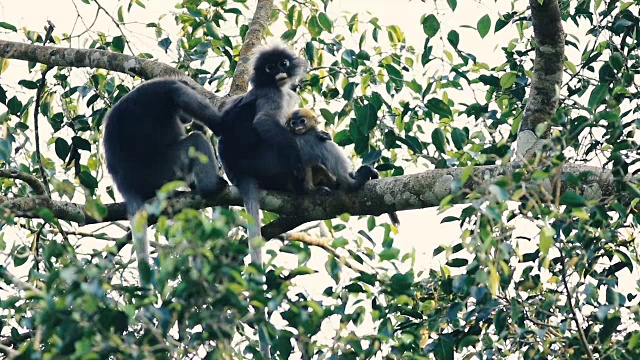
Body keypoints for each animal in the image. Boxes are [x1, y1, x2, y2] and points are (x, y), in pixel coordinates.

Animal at [102, 78, 228, 282]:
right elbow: (181, 96)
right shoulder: (167, 87)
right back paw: (211, 186)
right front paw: (220, 124)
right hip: (165, 168)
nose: (187, 120)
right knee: (195, 140)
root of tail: (127, 186)